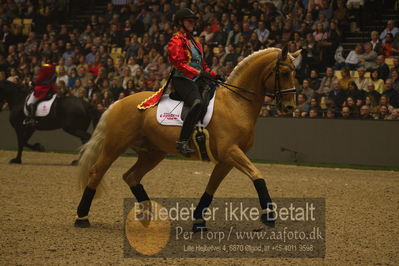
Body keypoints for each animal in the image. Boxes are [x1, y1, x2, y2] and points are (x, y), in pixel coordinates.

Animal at [75, 47, 300, 231]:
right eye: (285, 73)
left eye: (295, 73)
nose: (290, 107)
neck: (236, 103)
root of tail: (119, 102)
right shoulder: (231, 151)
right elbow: (257, 175)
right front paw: (269, 215)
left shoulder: (227, 159)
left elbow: (211, 187)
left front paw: (199, 221)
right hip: (115, 146)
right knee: (96, 172)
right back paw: (82, 218)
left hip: (153, 153)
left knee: (131, 176)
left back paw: (150, 217)